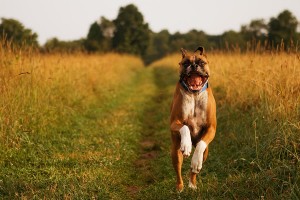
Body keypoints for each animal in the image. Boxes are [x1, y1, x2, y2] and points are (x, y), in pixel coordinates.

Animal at [170, 46, 217, 191]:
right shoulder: (174, 123)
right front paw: (186, 144)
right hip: (175, 151)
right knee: (178, 171)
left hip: (206, 152)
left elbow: (201, 146)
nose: (194, 65)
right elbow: (184, 126)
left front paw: (196, 161)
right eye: (185, 63)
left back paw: (192, 184)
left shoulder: (211, 128)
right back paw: (180, 187)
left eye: (201, 62)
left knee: (194, 169)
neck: (195, 95)